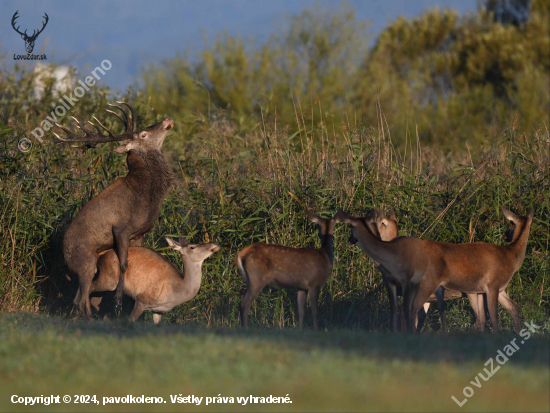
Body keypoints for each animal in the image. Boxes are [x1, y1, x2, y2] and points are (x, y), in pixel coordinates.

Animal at [54, 101, 174, 318]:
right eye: (143, 134)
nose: (168, 119)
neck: (148, 195)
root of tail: (64, 256)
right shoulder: (121, 228)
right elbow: (124, 264)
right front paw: (118, 300)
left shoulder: (140, 233)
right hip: (85, 262)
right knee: (80, 298)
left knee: (81, 297)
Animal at [75, 238, 220, 322]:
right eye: (193, 246)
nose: (216, 243)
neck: (177, 291)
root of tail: (100, 254)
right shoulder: (142, 299)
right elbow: (131, 320)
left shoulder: (158, 311)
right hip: (109, 279)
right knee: (88, 287)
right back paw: (86, 315)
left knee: (92, 295)